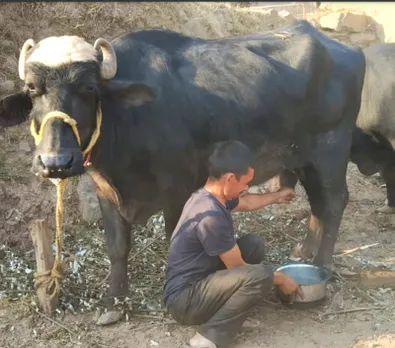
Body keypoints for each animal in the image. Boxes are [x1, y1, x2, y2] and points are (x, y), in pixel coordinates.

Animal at [0, 21, 366, 312]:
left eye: (89, 87)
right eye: (32, 89)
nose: (55, 162)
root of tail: (347, 50)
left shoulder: (178, 188)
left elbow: (172, 237)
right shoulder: (105, 190)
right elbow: (117, 247)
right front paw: (115, 299)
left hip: (331, 150)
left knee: (333, 201)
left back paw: (323, 263)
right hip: (303, 158)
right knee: (317, 201)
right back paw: (304, 251)